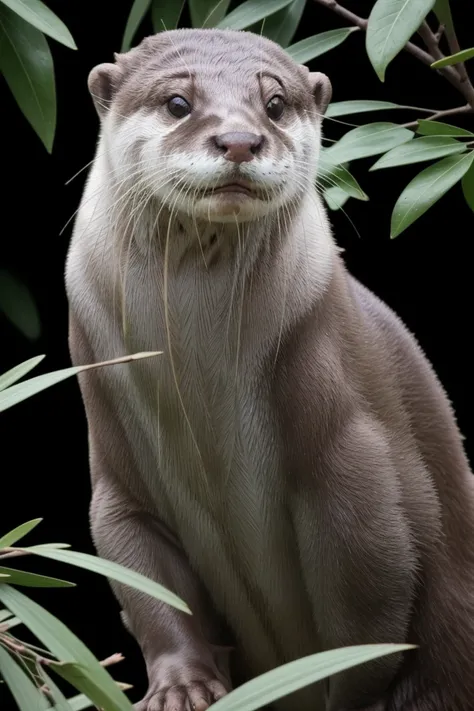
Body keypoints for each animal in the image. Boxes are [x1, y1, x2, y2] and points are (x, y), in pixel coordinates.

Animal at [65, 27, 474, 711]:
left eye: (275, 104)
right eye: (177, 102)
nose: (238, 139)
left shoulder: (353, 453)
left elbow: (372, 595)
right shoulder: (115, 463)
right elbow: (142, 571)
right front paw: (182, 686)